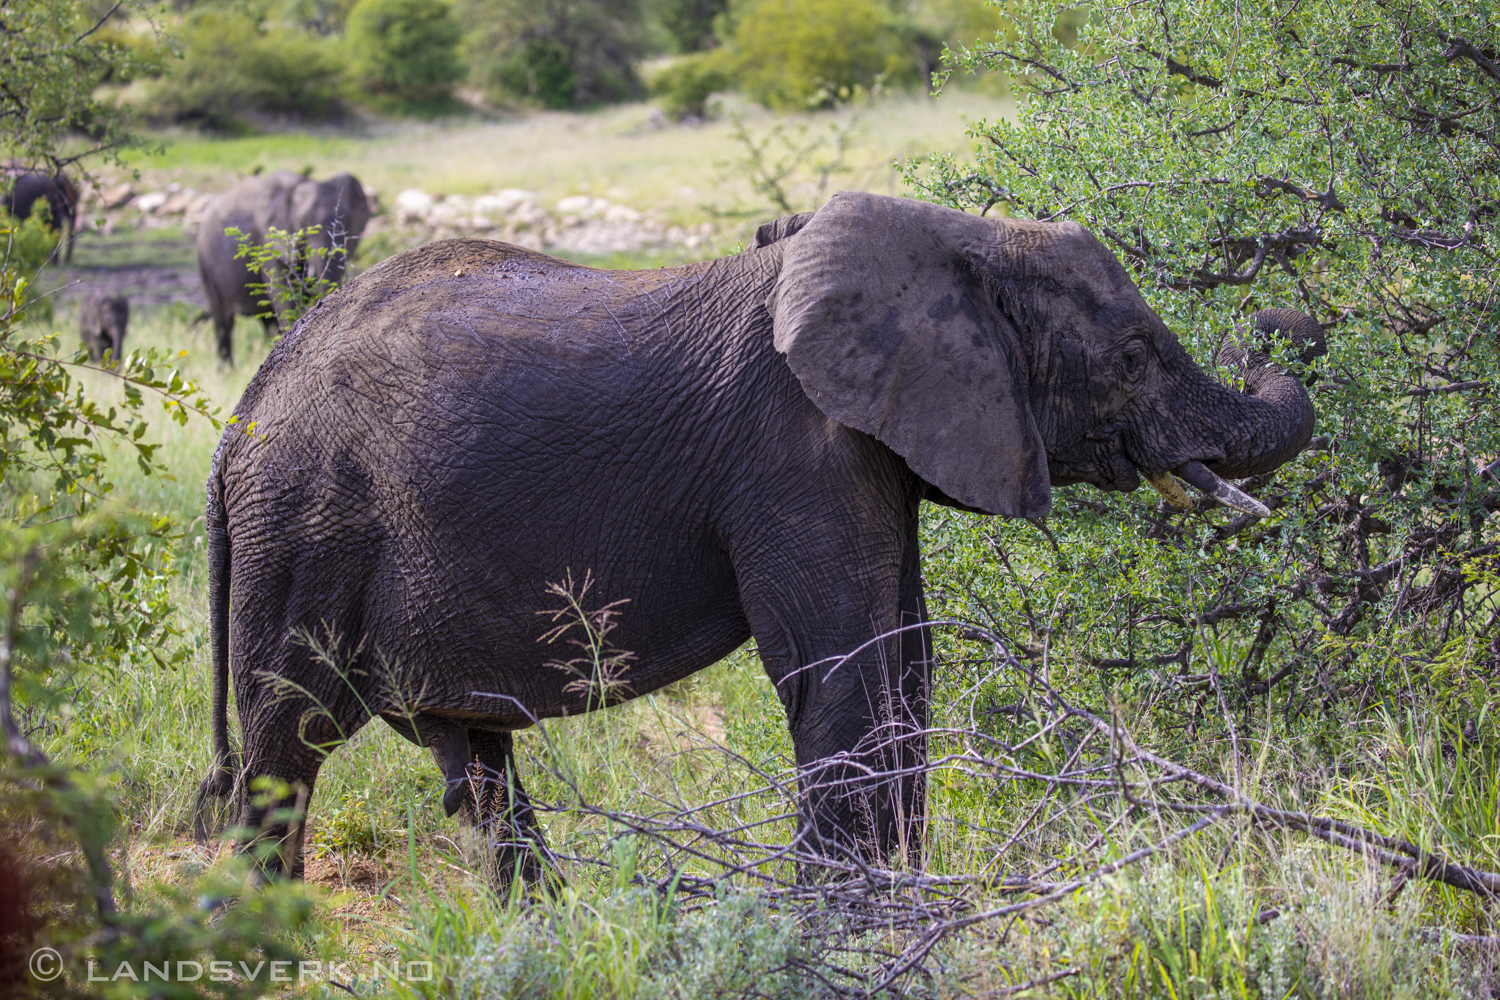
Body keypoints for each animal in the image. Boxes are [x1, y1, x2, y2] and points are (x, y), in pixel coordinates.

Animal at [193, 191, 1320, 881]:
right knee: (282, 755)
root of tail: (240, 419)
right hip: (307, 528)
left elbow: (906, 673)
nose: (1283, 309)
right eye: (1132, 357)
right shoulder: (796, 451)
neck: (958, 240)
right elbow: (842, 680)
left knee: (472, 760)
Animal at [196, 170, 372, 364]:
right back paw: (227, 368)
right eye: (301, 222)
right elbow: (283, 295)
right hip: (206, 261)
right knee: (223, 323)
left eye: (345, 222)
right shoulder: (268, 241)